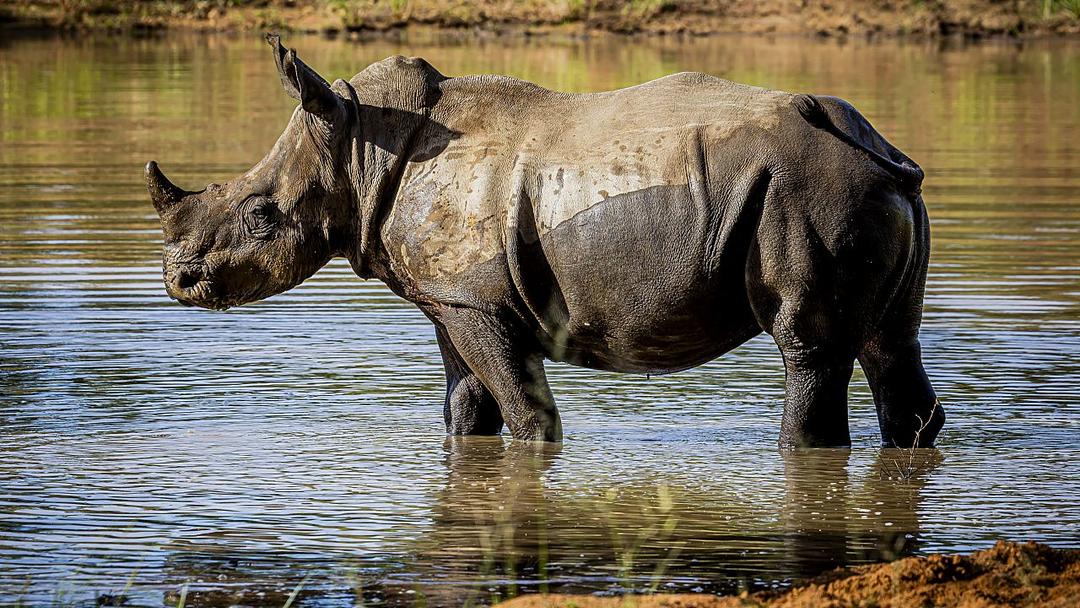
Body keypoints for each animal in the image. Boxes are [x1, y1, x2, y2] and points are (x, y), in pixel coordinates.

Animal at [146, 35, 944, 448]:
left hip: (809, 195)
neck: (358, 148)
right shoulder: (455, 301)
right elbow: (466, 407)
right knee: (889, 341)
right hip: (876, 194)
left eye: (261, 217)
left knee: (808, 348)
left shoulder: (476, 304)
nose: (177, 280)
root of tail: (880, 152)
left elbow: (529, 416)